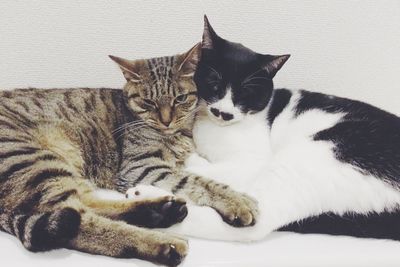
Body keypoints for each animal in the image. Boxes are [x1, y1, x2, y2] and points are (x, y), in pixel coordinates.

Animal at [0, 44, 256, 267]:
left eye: (180, 99)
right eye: (149, 101)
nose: (166, 121)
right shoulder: (140, 166)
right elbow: (196, 181)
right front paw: (237, 200)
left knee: (85, 205)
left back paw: (159, 212)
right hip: (37, 161)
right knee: (80, 220)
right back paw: (164, 243)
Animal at [127, 17, 400, 243]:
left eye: (245, 94)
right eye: (214, 83)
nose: (223, 112)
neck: (211, 127)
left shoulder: (251, 161)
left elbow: (205, 170)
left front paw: (186, 160)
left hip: (309, 159)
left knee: (254, 226)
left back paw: (149, 202)